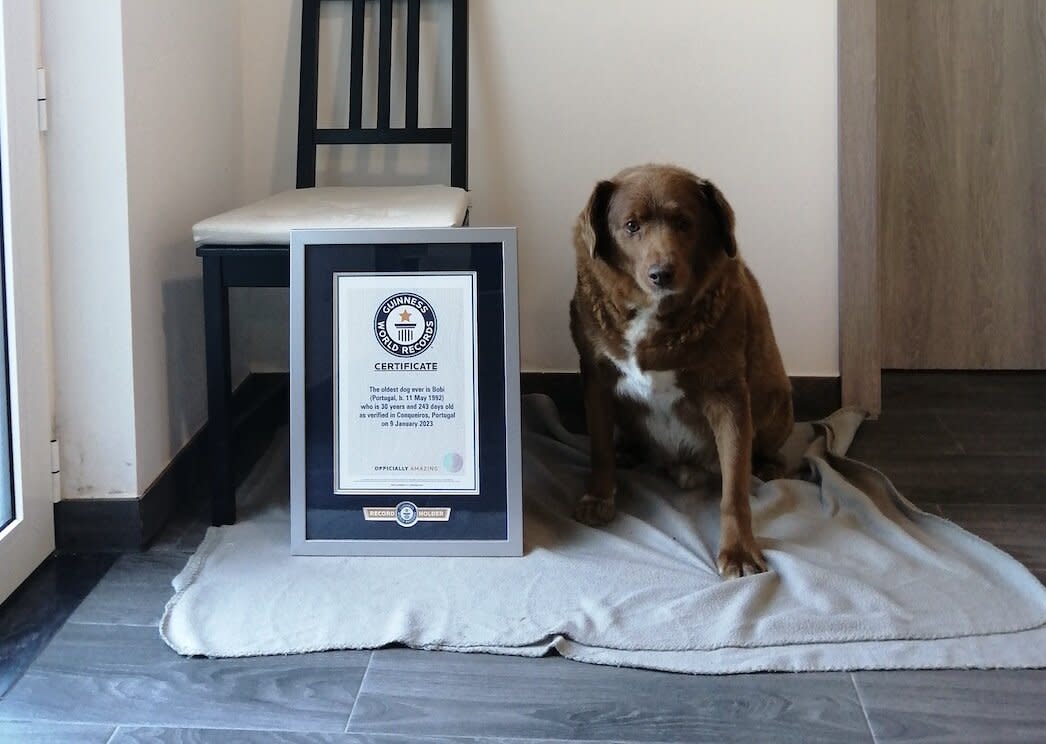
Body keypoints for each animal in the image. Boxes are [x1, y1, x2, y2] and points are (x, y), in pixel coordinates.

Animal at [573, 166, 790, 577]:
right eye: (631, 225)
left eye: (684, 222)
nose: (662, 273)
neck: (653, 315)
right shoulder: (596, 378)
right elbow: (599, 448)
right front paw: (597, 496)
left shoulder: (728, 396)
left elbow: (734, 488)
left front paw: (738, 551)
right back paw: (628, 450)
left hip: (774, 401)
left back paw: (769, 467)